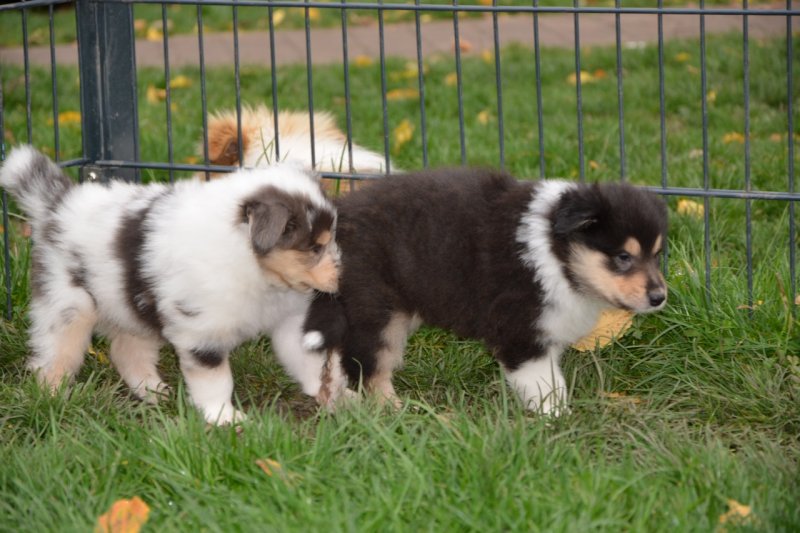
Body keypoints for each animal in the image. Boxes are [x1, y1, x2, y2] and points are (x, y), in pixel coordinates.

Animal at [0, 145, 340, 424]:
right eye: (314, 248)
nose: (341, 277)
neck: (254, 263)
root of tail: (60, 204)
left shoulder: (290, 323)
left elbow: (309, 363)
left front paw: (334, 398)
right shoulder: (203, 334)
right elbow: (217, 381)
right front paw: (224, 418)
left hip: (130, 304)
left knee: (125, 351)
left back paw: (155, 392)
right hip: (68, 306)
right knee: (53, 358)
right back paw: (54, 398)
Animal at [298, 167, 668, 415]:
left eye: (656, 254)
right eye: (623, 257)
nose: (659, 298)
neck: (555, 252)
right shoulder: (521, 330)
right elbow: (545, 382)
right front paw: (558, 418)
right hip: (376, 309)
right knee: (368, 364)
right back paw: (393, 409)